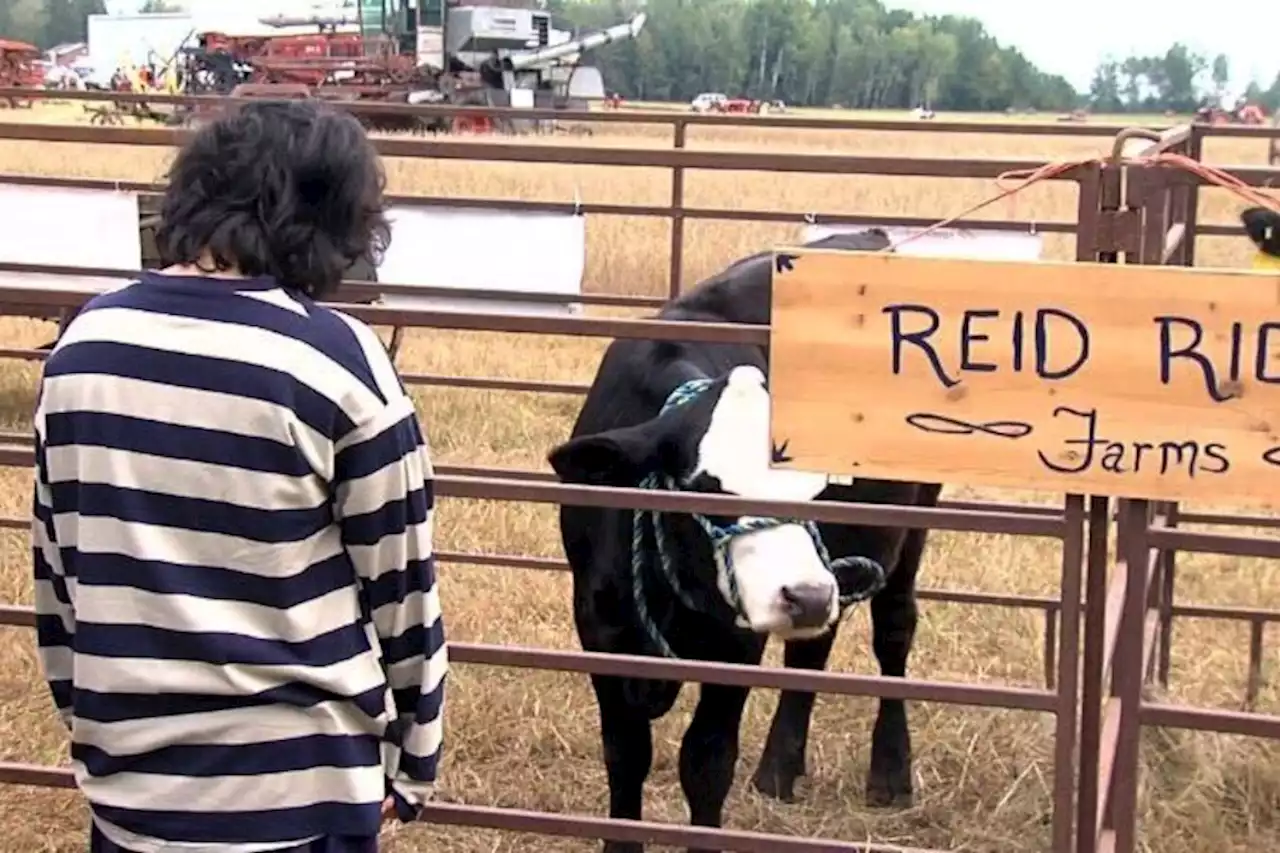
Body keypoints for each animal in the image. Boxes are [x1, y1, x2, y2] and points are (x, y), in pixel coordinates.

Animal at [542, 227, 942, 850]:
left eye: (815, 488)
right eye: (708, 487)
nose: (806, 596)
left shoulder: (735, 645)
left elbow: (706, 762)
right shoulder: (599, 629)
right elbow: (625, 758)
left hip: (912, 521)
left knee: (894, 631)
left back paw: (890, 772)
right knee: (811, 651)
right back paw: (780, 767)